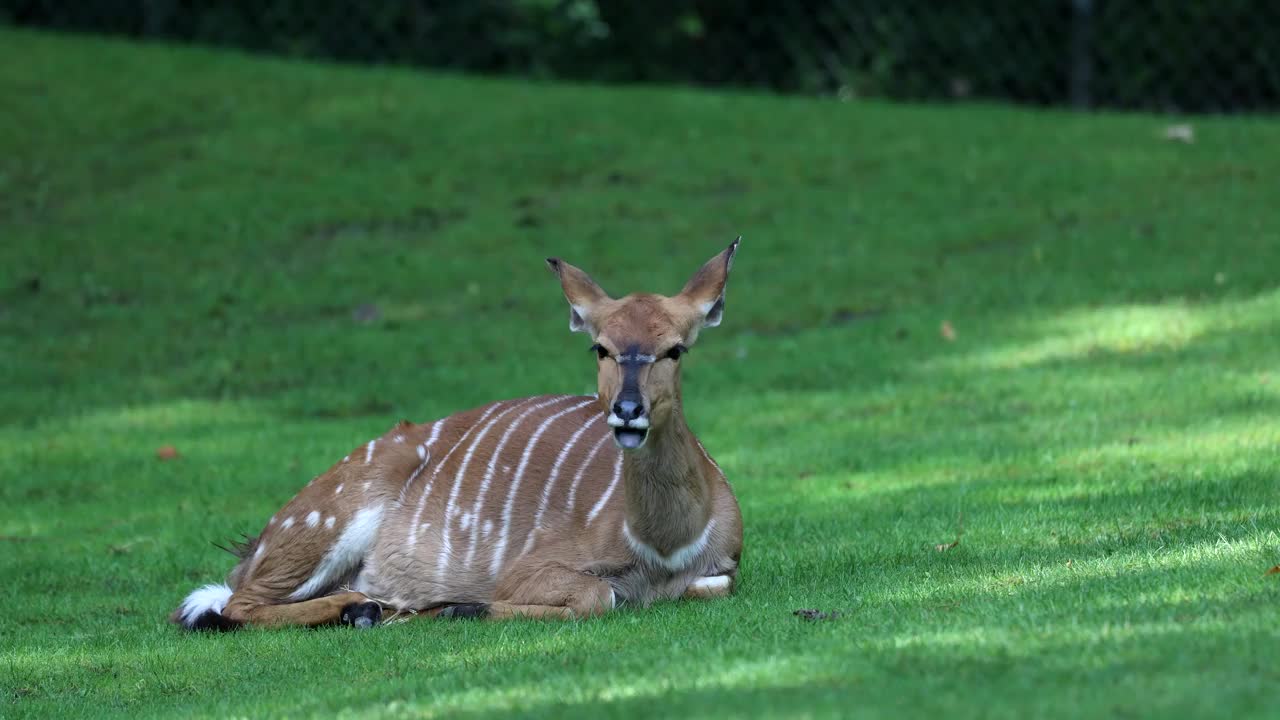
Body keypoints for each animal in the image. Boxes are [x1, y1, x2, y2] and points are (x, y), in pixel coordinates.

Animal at [175, 238, 747, 625]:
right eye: (599, 347)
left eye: (675, 348)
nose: (628, 411)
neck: (663, 546)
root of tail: (254, 546)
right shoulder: (531, 567)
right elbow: (598, 595)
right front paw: (461, 606)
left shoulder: (725, 569)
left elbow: (708, 586)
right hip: (326, 519)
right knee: (233, 603)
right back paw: (365, 608)